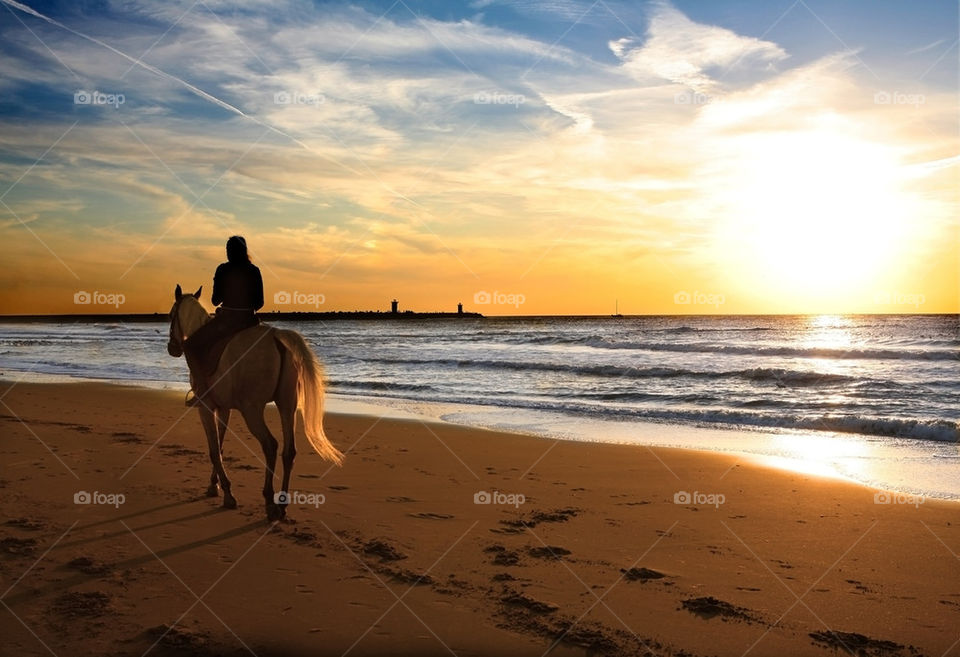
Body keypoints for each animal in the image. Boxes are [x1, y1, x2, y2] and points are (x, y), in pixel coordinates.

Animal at [167, 284, 344, 520]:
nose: (172, 348)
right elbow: (220, 446)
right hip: (286, 406)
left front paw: (227, 493)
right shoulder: (224, 409)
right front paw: (214, 486)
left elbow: (214, 450)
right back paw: (282, 504)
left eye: (171, 315)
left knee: (270, 445)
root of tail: (277, 337)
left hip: (252, 410)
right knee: (289, 451)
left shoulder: (206, 408)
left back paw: (269, 501)